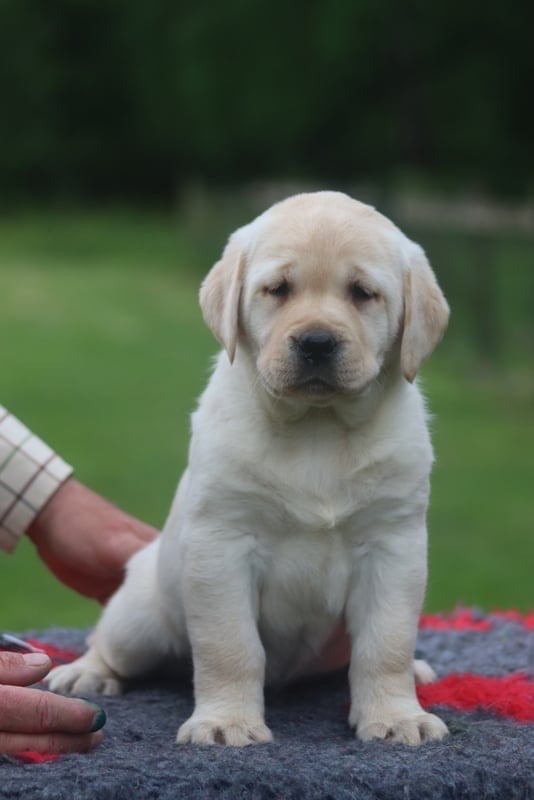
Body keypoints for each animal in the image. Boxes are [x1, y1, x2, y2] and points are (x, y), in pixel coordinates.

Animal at [49, 194, 452, 752]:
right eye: (278, 289)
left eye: (362, 293)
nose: (317, 342)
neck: (317, 428)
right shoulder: (222, 545)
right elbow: (231, 646)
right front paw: (227, 722)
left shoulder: (394, 546)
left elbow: (386, 643)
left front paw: (396, 715)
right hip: (142, 616)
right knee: (109, 643)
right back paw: (86, 672)